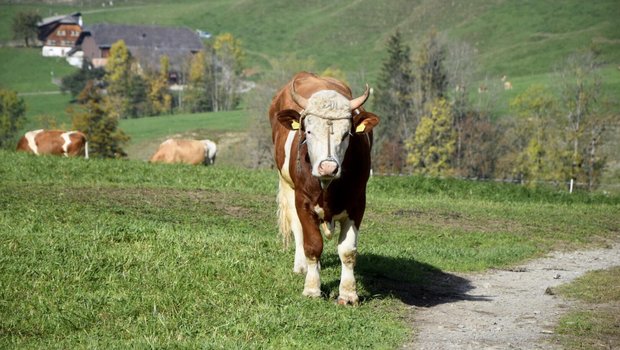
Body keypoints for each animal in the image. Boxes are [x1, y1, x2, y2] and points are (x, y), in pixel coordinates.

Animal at [270, 71, 380, 304]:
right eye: (309, 131)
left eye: (347, 134)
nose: (328, 167)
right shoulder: (303, 202)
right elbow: (312, 244)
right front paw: (312, 288)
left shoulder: (358, 203)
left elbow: (347, 251)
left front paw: (348, 293)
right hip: (288, 186)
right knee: (298, 229)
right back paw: (302, 265)